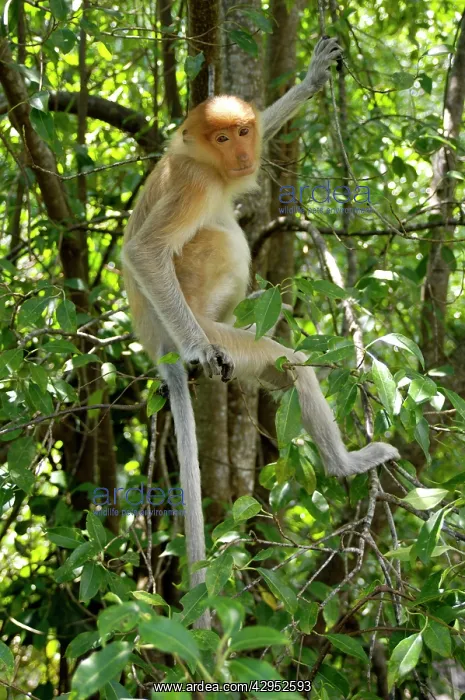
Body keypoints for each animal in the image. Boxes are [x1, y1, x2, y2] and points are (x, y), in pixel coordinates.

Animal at [122, 37, 400, 627]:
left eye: (244, 131)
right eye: (221, 138)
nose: (241, 155)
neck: (200, 159)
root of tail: (159, 349)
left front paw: (314, 78)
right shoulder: (195, 183)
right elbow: (143, 251)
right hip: (208, 321)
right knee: (279, 349)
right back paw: (345, 464)